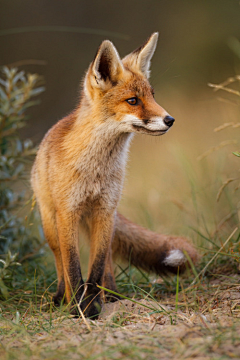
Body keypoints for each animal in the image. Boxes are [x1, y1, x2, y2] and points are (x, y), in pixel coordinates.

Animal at [31, 33, 197, 318]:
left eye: (152, 96)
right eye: (133, 100)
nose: (170, 119)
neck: (96, 171)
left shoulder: (106, 209)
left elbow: (96, 268)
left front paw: (92, 305)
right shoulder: (68, 212)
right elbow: (72, 266)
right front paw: (77, 307)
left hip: (102, 223)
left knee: (105, 261)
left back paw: (111, 295)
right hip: (51, 223)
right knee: (59, 260)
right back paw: (61, 295)